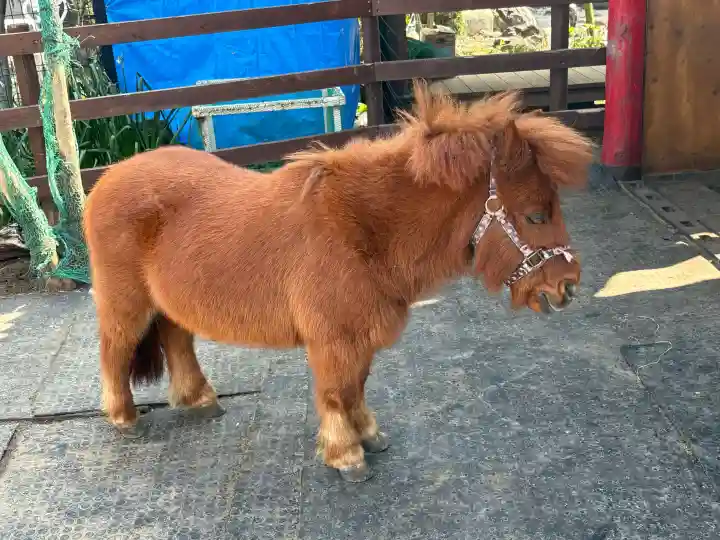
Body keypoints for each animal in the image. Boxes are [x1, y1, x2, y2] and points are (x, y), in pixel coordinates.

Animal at [83, 81, 593, 483]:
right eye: (536, 215)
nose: (568, 286)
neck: (362, 229)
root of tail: (107, 179)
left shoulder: (360, 336)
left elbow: (356, 387)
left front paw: (368, 435)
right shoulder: (331, 339)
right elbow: (334, 392)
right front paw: (345, 454)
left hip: (169, 303)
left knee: (176, 340)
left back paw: (199, 400)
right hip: (126, 302)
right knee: (115, 348)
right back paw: (124, 417)